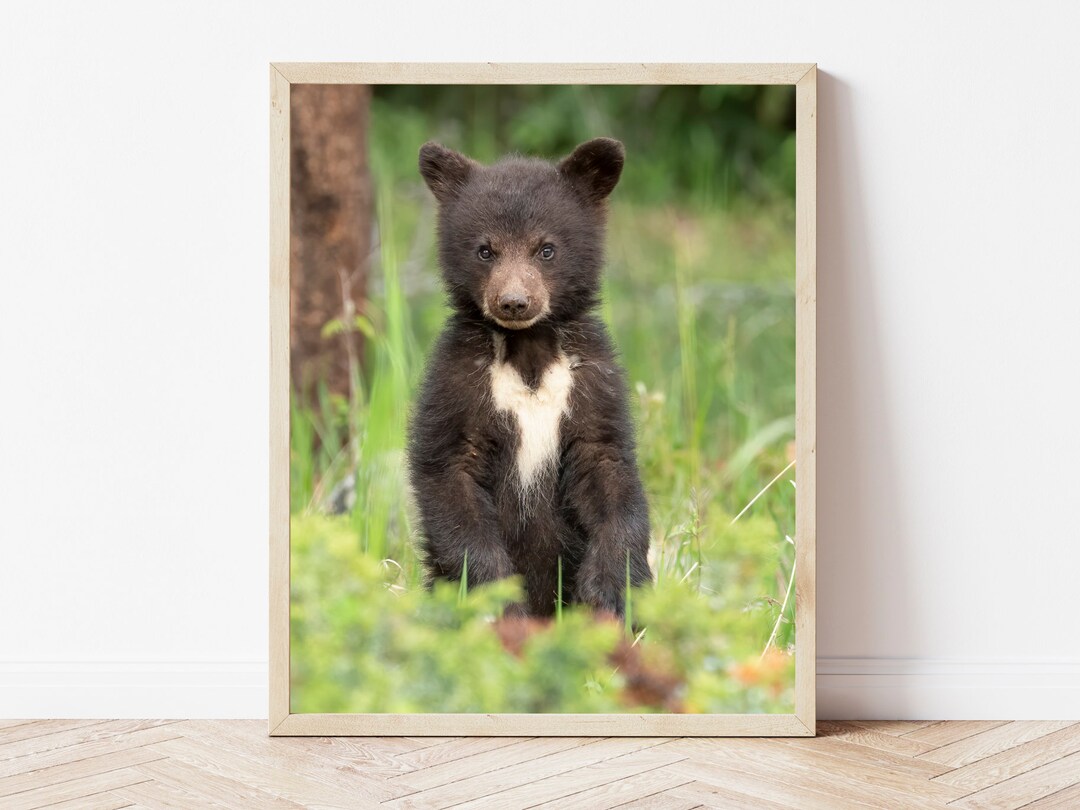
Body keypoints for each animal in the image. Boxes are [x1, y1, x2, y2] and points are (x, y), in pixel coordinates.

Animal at [406, 137, 652, 618]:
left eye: (546, 248)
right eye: (485, 250)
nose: (514, 301)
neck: (529, 352)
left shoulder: (591, 382)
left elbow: (610, 468)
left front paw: (610, 590)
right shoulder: (459, 381)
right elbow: (449, 475)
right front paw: (499, 598)